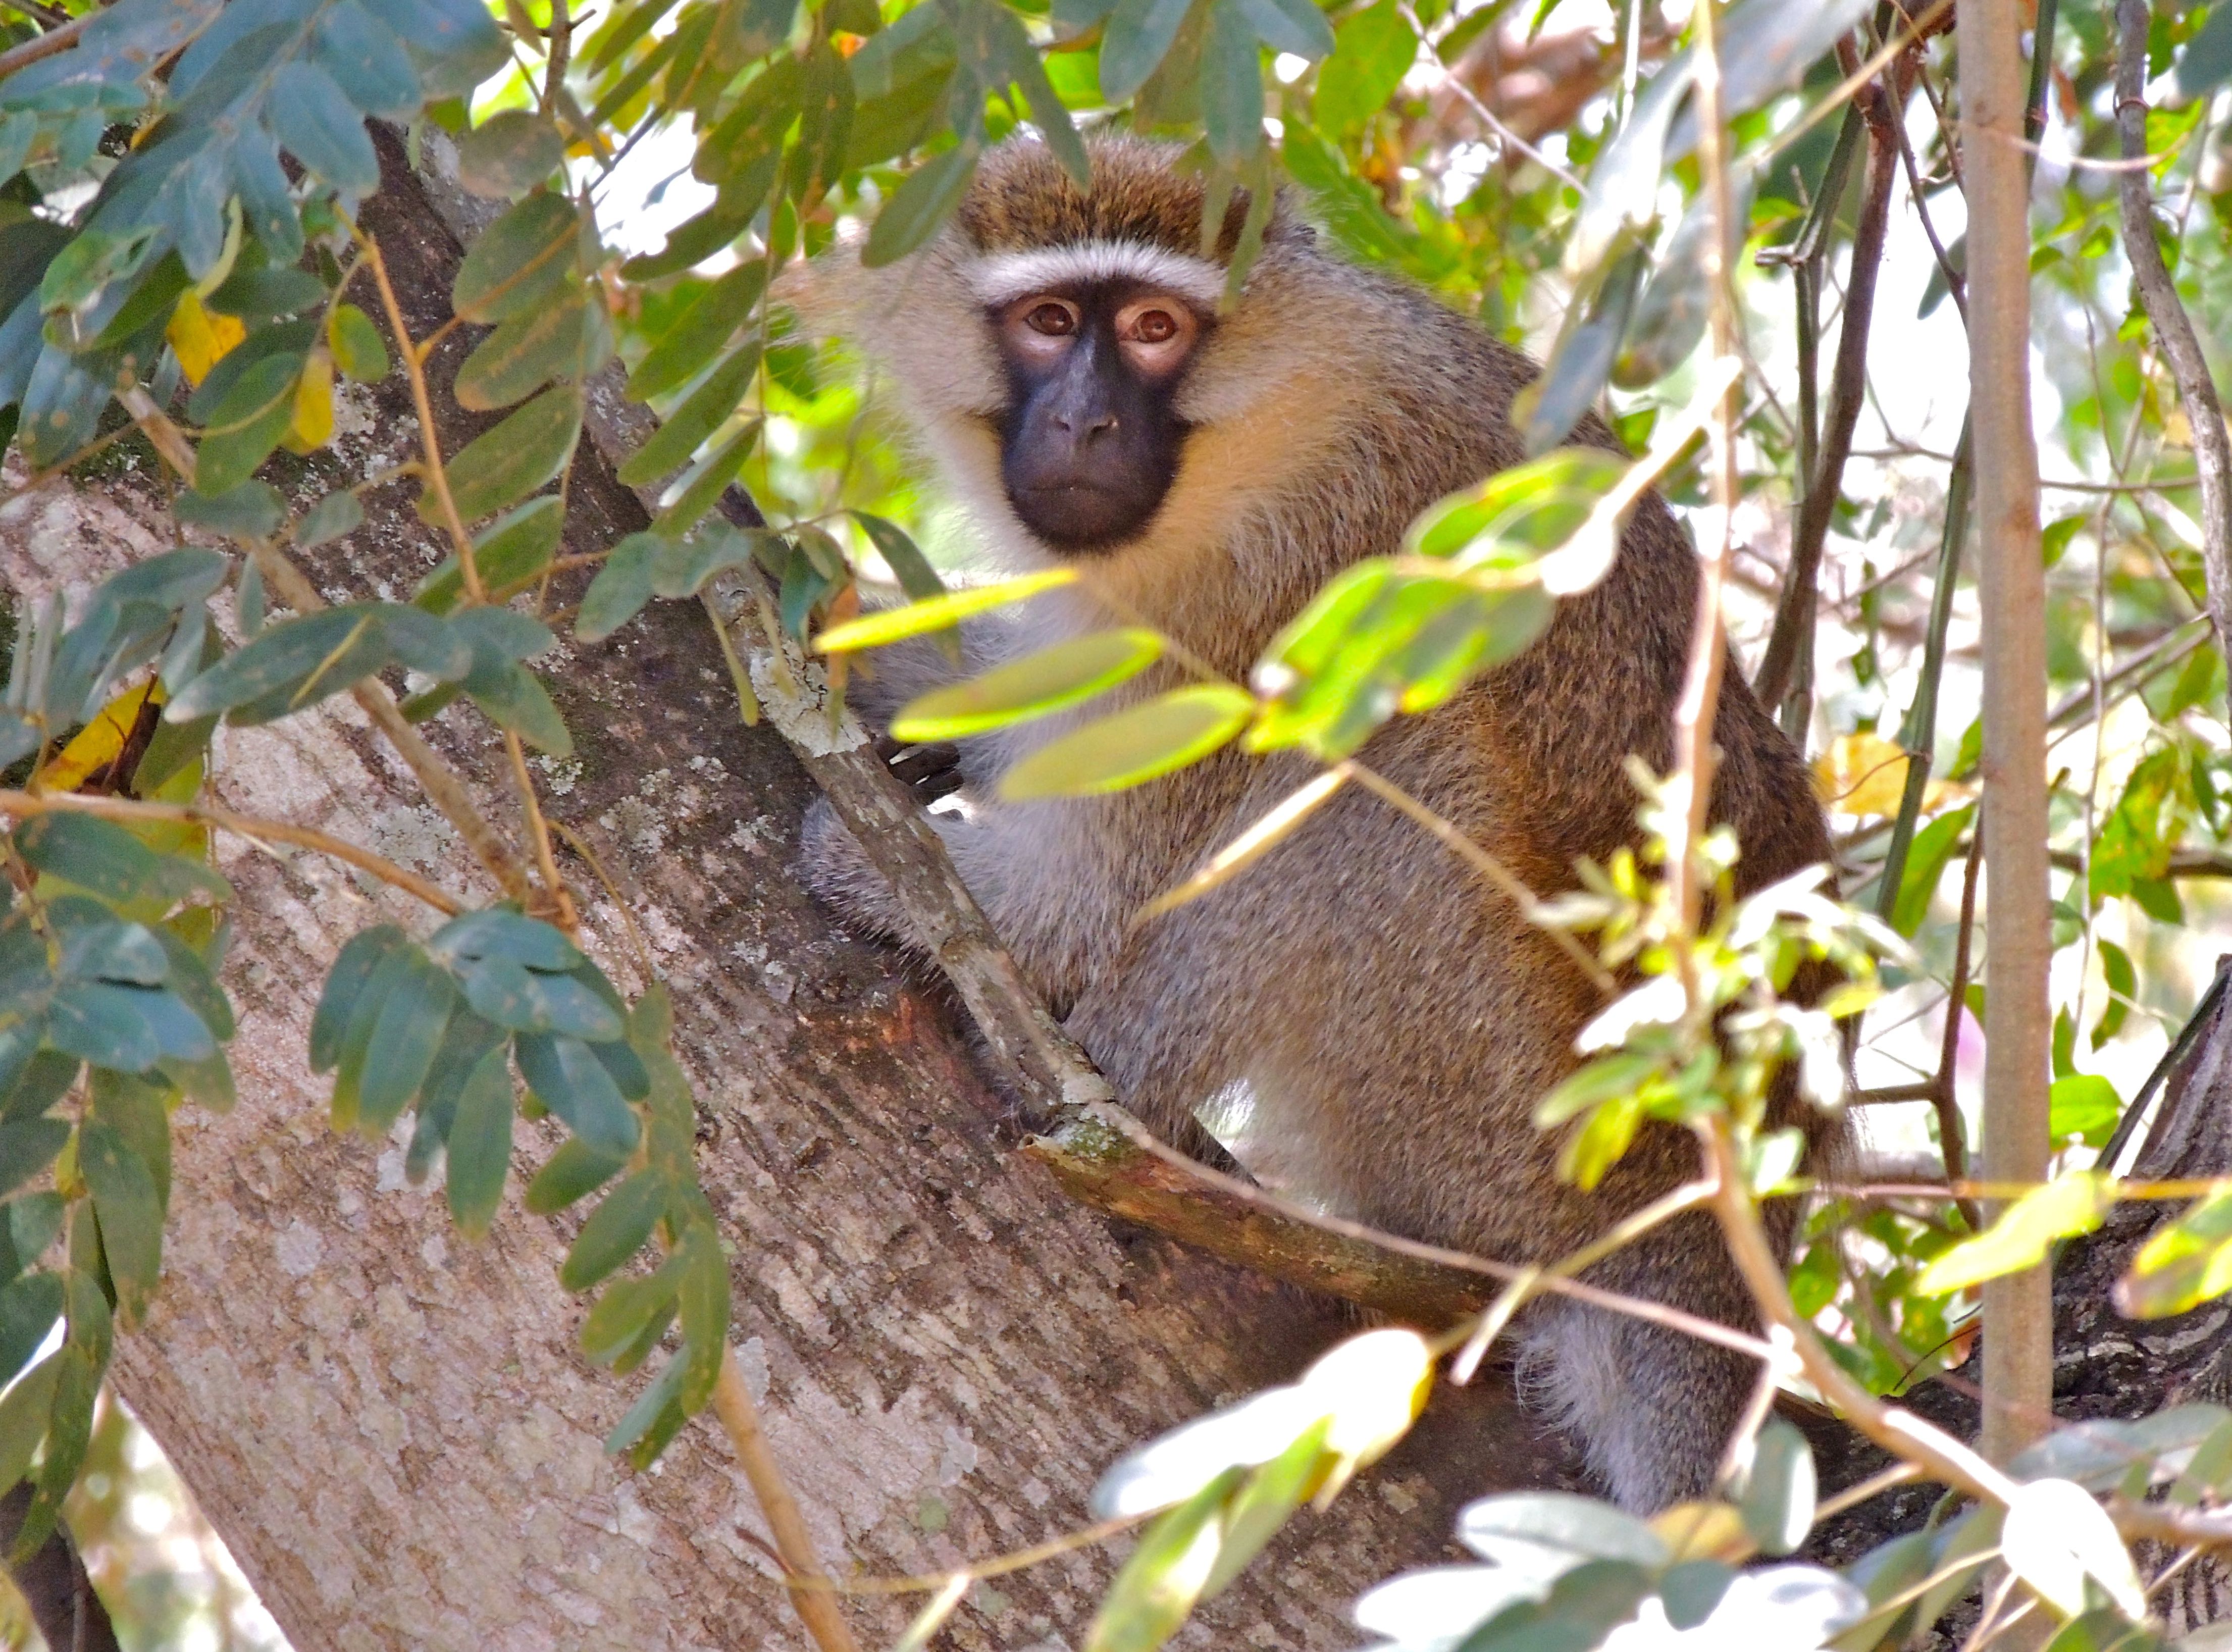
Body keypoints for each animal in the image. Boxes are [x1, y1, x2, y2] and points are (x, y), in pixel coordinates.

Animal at [794, 135, 1839, 1518]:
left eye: (1154, 329)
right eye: (1048, 321)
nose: (1082, 421)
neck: (1264, 415)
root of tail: (1702, 1243)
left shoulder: (1267, 581)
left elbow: (1079, 902)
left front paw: (889, 868)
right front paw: (877, 657)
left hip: (1502, 1120)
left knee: (1386, 766)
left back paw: (1102, 1097)